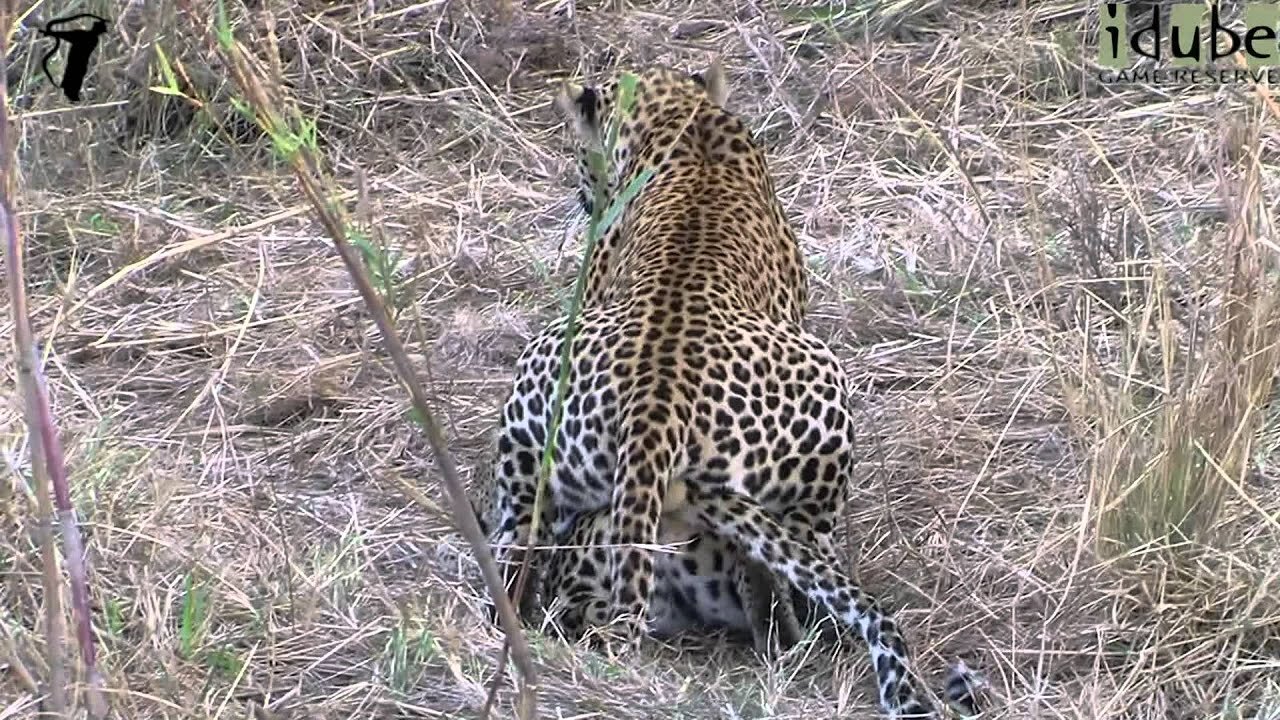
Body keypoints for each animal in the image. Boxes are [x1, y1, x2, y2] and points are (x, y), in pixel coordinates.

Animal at [476, 58, 983, 712]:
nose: (580, 192)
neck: (681, 118)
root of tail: (655, 404)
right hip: (817, 419)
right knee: (787, 582)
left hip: (536, 438)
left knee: (518, 561)